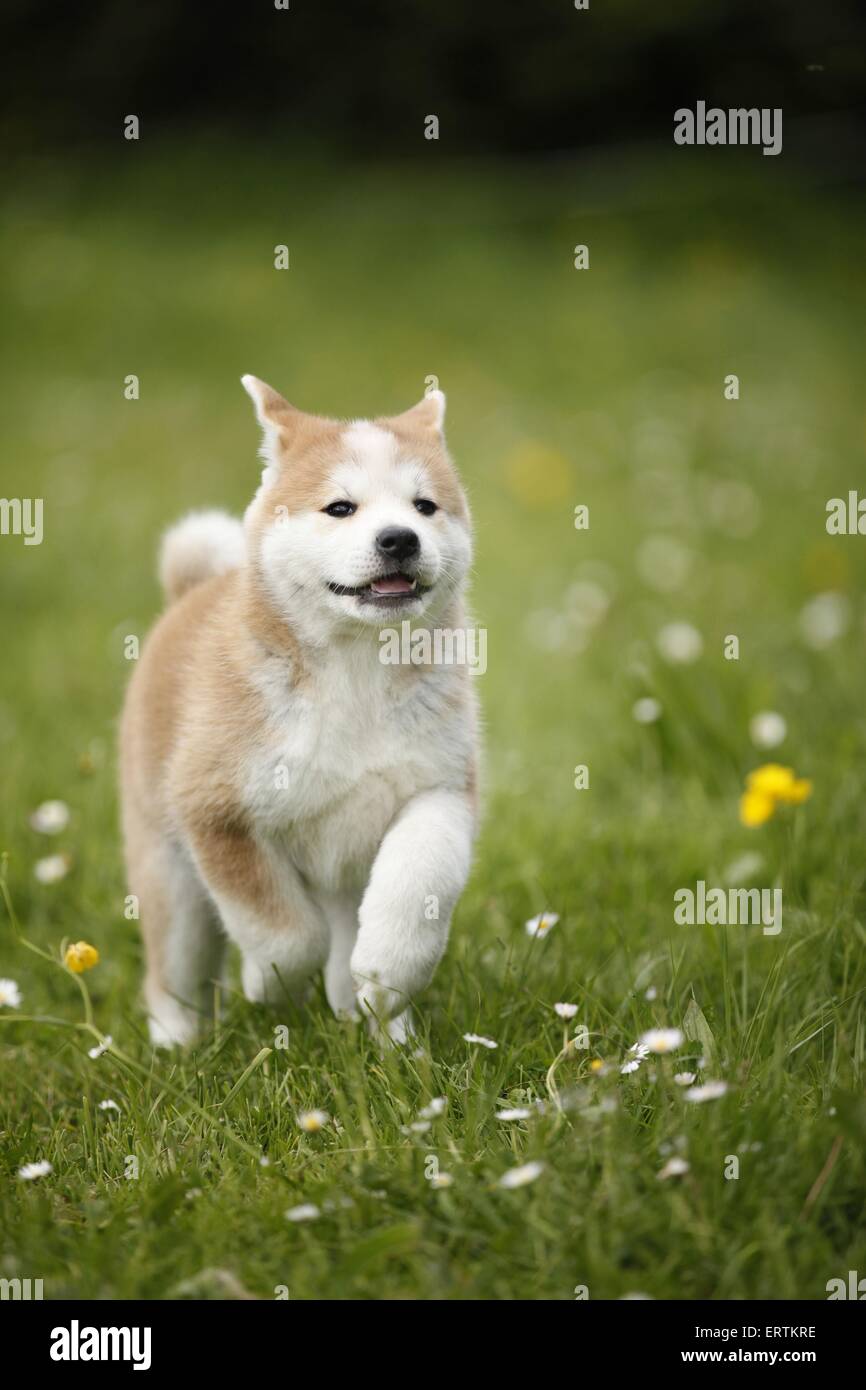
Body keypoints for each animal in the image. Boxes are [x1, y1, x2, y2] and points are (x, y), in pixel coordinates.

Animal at [120, 375, 480, 1045]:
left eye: (424, 506)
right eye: (340, 508)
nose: (399, 538)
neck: (356, 673)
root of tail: (189, 594)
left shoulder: (438, 790)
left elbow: (417, 885)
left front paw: (387, 974)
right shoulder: (217, 812)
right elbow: (285, 933)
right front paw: (267, 983)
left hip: (342, 874)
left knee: (343, 940)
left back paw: (384, 1033)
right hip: (170, 876)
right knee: (172, 975)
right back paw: (177, 1044)